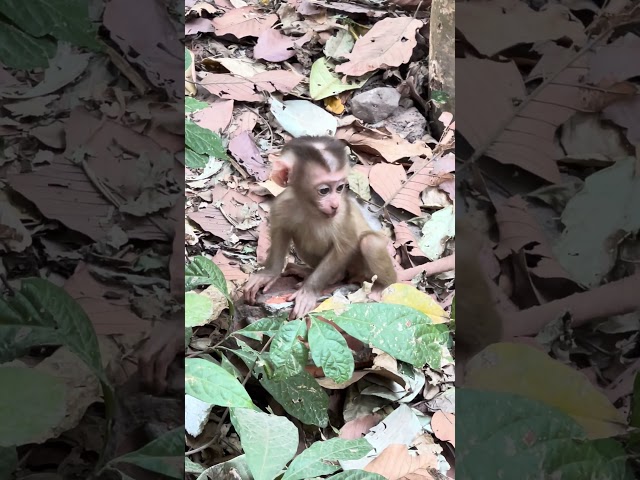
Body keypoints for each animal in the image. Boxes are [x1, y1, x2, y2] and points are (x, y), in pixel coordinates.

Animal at [244, 135, 396, 318]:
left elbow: (344, 248)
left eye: (339, 188)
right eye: (324, 190)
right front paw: (268, 273)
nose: (334, 205)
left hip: (364, 270)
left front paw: (308, 291)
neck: (310, 208)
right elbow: (281, 232)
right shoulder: (282, 204)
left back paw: (380, 286)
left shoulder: (342, 214)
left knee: (370, 243)